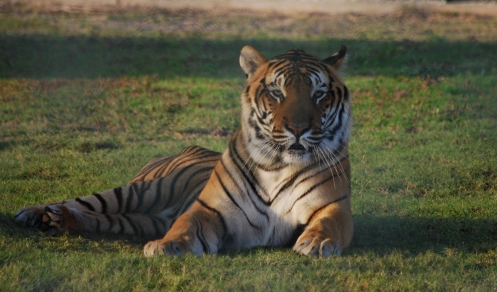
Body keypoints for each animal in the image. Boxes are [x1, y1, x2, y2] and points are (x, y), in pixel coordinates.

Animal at [14, 44, 352, 256]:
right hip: (142, 191)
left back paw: (57, 221)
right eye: (276, 93)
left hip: (136, 220)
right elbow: (184, 226)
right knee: (85, 202)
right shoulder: (209, 209)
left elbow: (329, 223)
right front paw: (165, 247)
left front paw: (317, 243)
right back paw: (33, 213)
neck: (278, 165)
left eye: (319, 94)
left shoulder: (333, 205)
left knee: (97, 219)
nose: (298, 128)